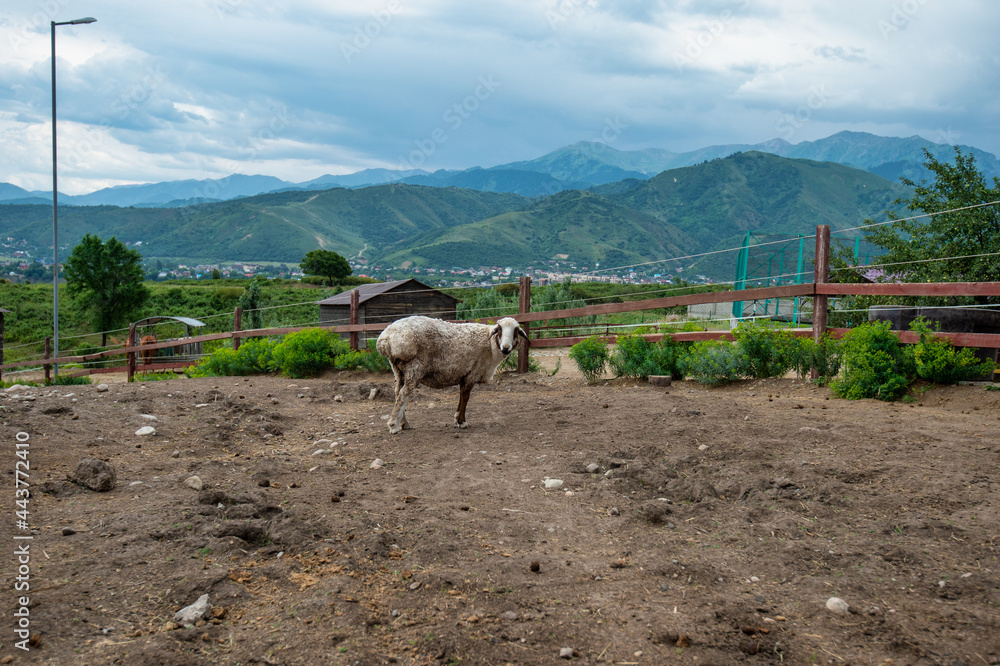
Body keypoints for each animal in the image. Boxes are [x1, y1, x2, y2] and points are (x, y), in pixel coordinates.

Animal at [376, 316, 530, 434]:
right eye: (500, 330)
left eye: (516, 331)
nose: (505, 348)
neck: (491, 346)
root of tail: (385, 339)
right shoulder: (472, 373)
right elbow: (466, 397)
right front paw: (462, 422)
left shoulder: (464, 375)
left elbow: (461, 397)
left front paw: (456, 419)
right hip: (414, 367)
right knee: (404, 394)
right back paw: (394, 426)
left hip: (398, 369)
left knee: (397, 392)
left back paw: (404, 423)